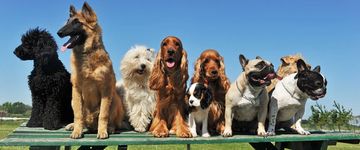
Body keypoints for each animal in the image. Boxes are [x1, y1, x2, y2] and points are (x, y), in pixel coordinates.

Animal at [56, 1, 124, 139]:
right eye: (68, 21)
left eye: (77, 22)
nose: (58, 32)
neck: (86, 54)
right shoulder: (76, 90)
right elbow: (78, 115)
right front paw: (77, 130)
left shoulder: (106, 90)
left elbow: (103, 114)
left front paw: (102, 131)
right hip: (73, 101)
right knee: (83, 119)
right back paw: (74, 126)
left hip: (115, 99)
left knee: (111, 121)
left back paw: (110, 128)